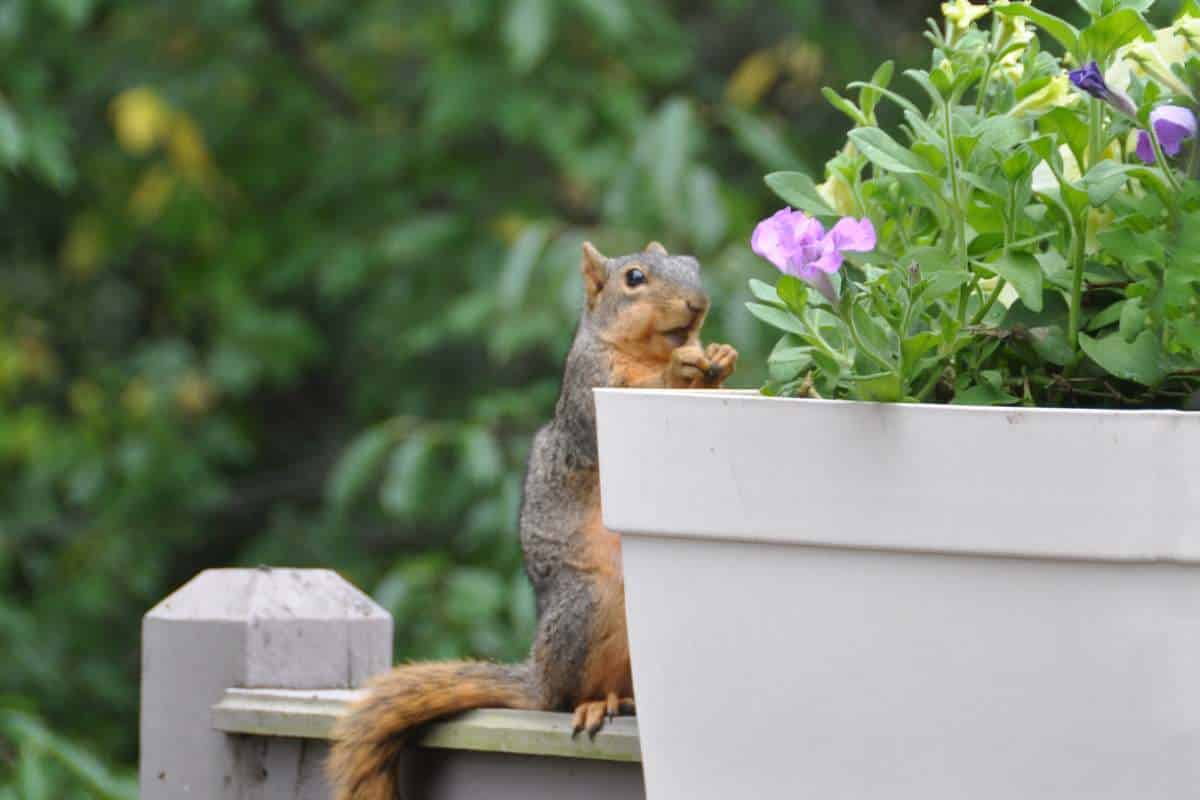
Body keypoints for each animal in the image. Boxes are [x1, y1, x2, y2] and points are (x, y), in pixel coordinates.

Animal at [327, 240, 738, 800]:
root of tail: (538, 677)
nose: (698, 304)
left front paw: (721, 355)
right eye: (634, 278)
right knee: (567, 696)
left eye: (692, 265)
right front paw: (682, 367)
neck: (644, 349)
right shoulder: (589, 393)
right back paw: (596, 703)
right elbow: (622, 404)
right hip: (586, 607)